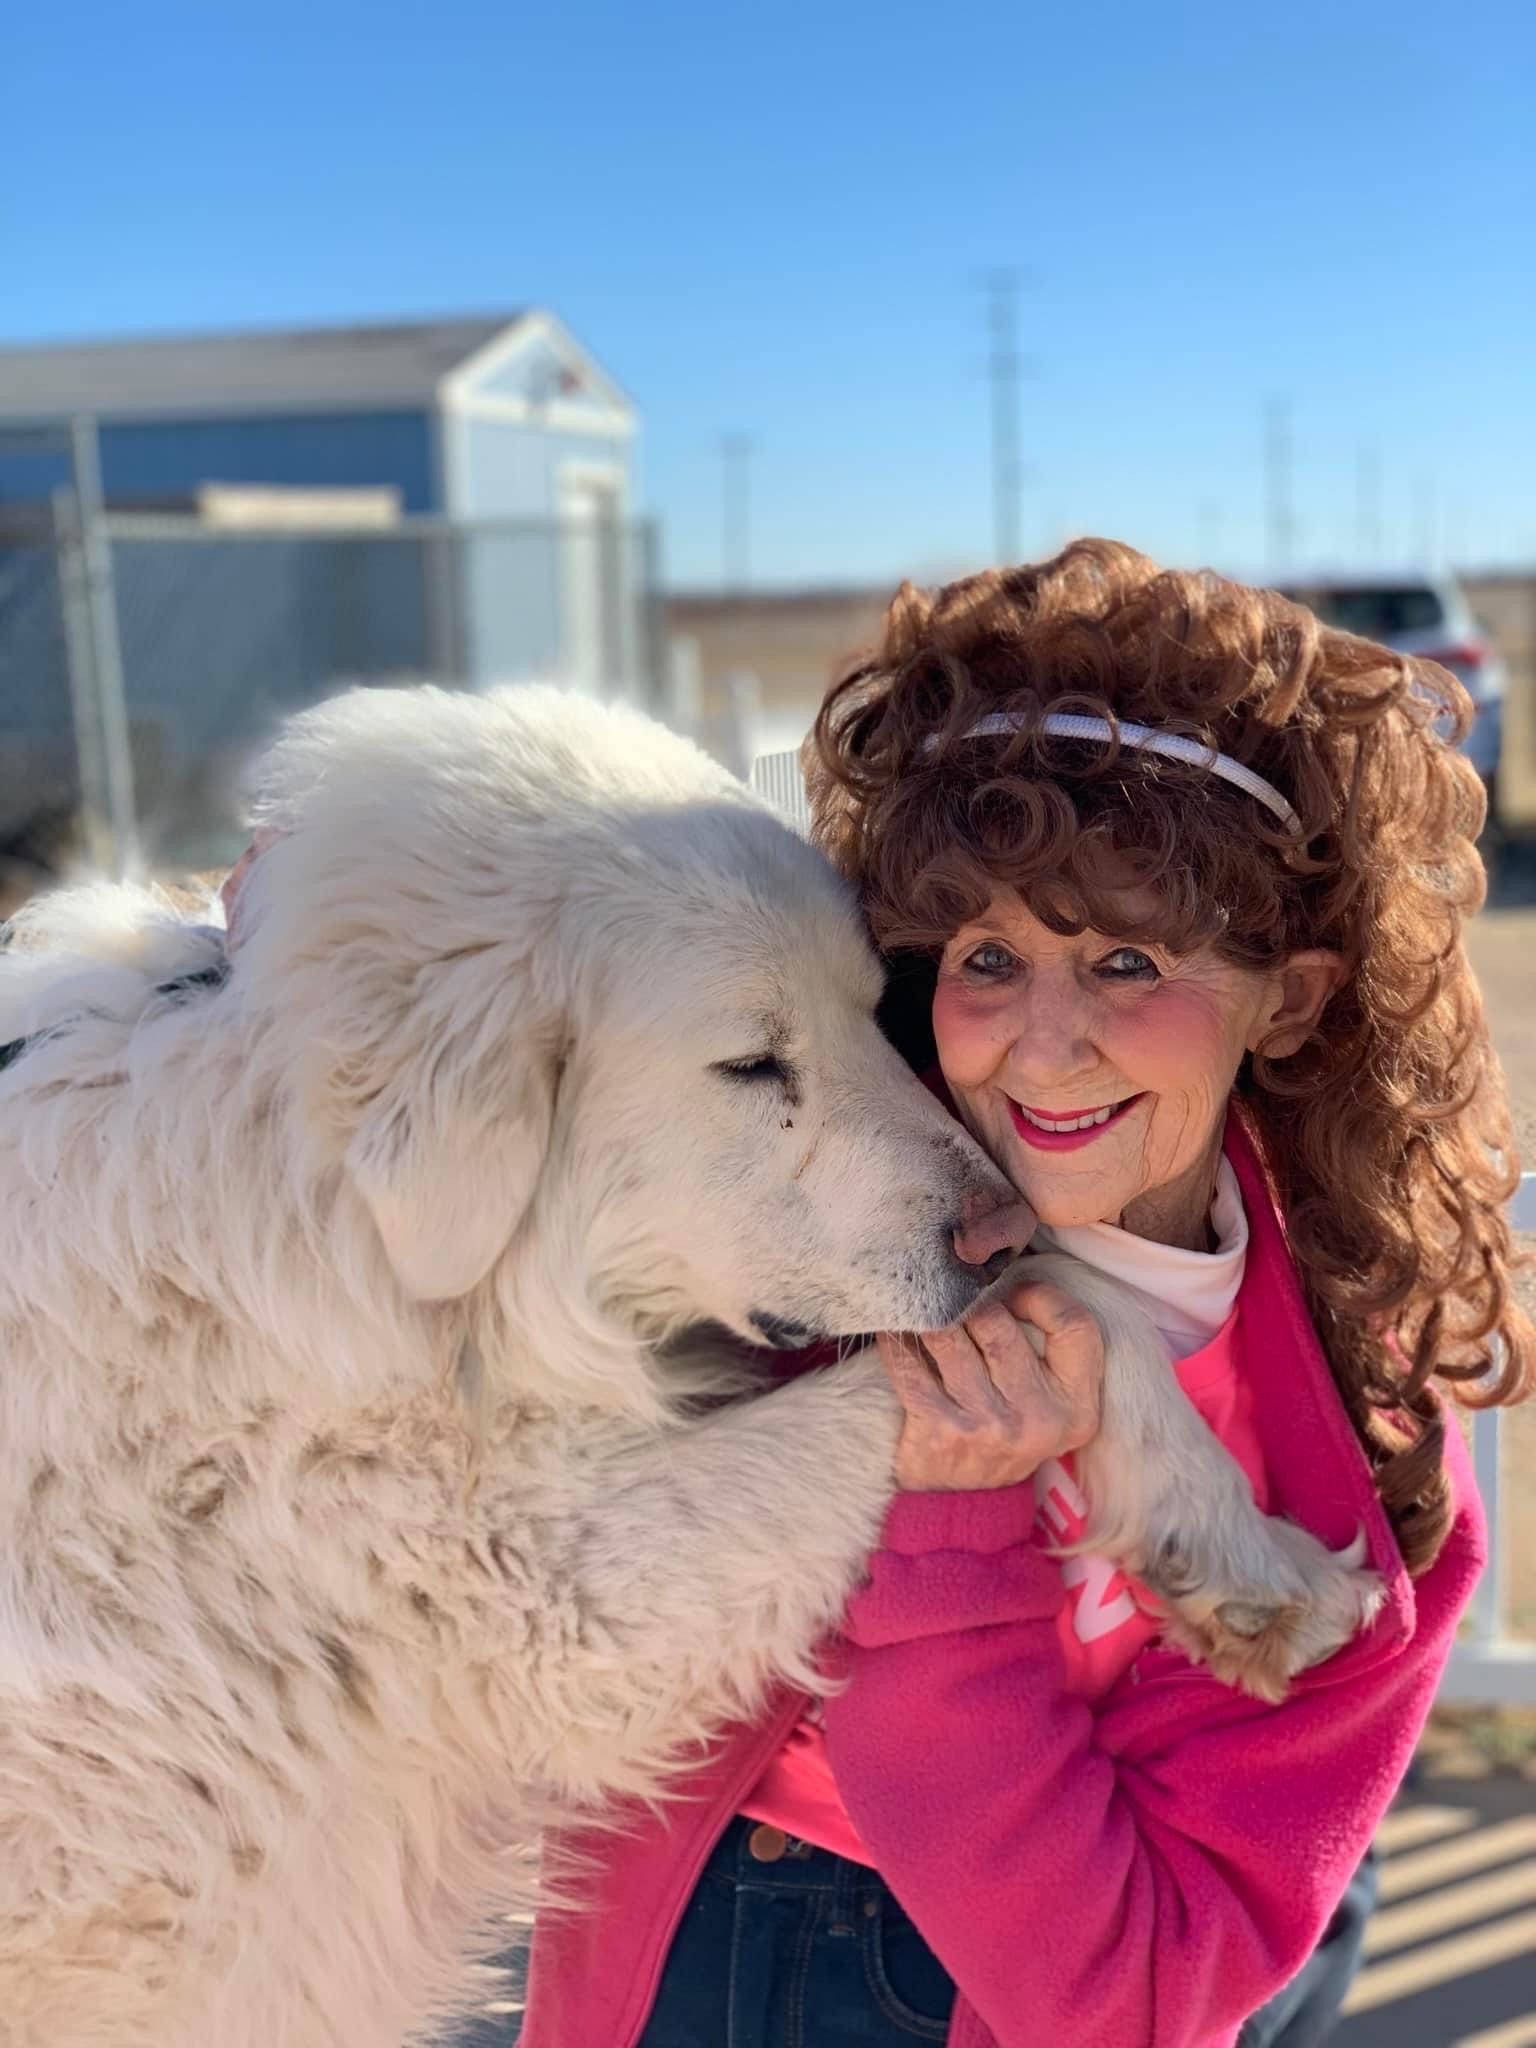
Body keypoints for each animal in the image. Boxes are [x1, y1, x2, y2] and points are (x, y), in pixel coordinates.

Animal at [0, 692, 1376, 2048]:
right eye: (751, 1064)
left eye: (877, 1007)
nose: (994, 1224)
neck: (336, 1225)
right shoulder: (552, 1584)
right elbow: (1029, 1318)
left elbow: (1084, 1300)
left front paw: (1249, 1567)